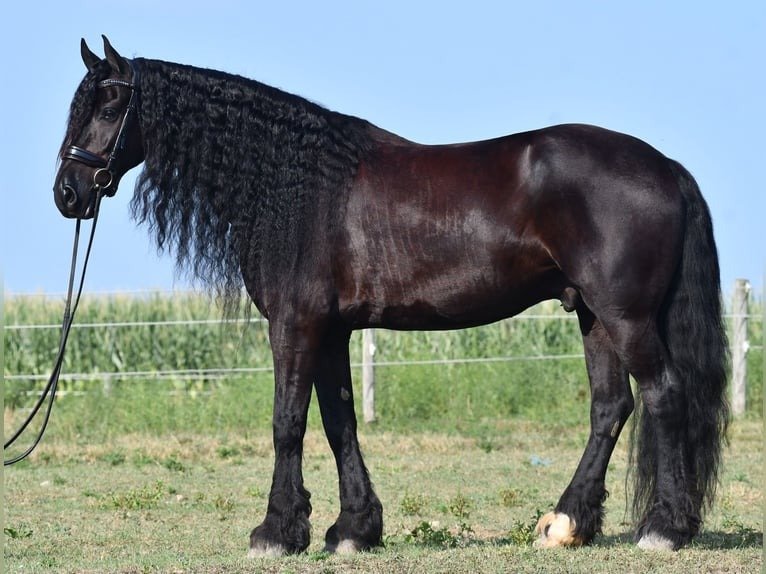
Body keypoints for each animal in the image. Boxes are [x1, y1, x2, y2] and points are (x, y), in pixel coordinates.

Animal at [54, 36, 728, 554]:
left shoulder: (295, 325)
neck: (298, 188)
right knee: (611, 408)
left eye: (110, 104)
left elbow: (287, 421)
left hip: (625, 315)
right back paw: (566, 525)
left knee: (663, 395)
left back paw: (664, 530)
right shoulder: (331, 330)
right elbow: (339, 423)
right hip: (591, 314)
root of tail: (666, 168)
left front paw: (276, 532)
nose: (67, 193)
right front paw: (352, 529)